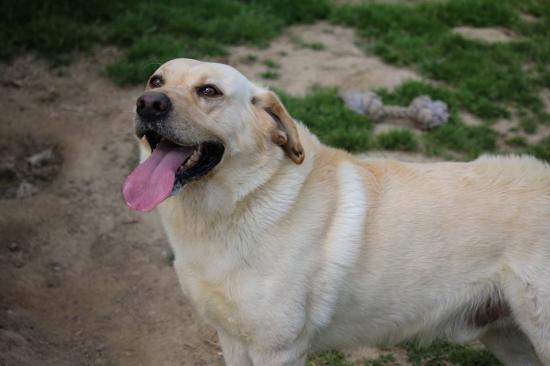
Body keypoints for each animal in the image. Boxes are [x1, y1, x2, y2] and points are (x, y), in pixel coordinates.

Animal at [125, 58, 550, 364]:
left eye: (209, 91)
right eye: (156, 81)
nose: (147, 104)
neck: (241, 200)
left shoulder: (278, 350)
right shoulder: (231, 338)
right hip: (506, 336)